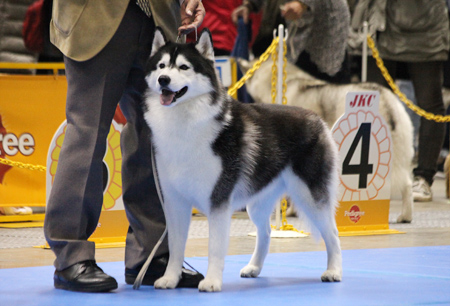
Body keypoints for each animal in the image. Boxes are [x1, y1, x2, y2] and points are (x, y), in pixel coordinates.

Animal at [142, 28, 342, 292]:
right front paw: (171, 278)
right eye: (162, 66)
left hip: (311, 198)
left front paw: (212, 281)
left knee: (333, 234)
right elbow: (175, 248)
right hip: (256, 203)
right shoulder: (175, 202)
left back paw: (334, 271)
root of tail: (316, 119)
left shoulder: (218, 201)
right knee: (265, 232)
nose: (163, 80)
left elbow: (215, 248)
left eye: (184, 67)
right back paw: (254, 267)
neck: (185, 124)